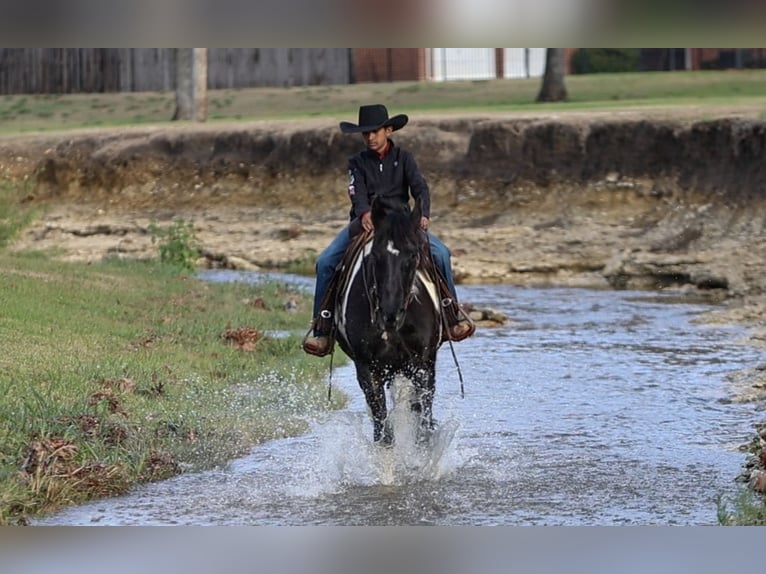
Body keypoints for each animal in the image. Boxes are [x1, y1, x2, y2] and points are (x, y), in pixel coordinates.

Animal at [334, 198, 444, 446]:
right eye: (375, 256)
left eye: (413, 255)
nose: (389, 315)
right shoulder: (368, 370)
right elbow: (384, 435)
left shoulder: (421, 367)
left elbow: (423, 430)